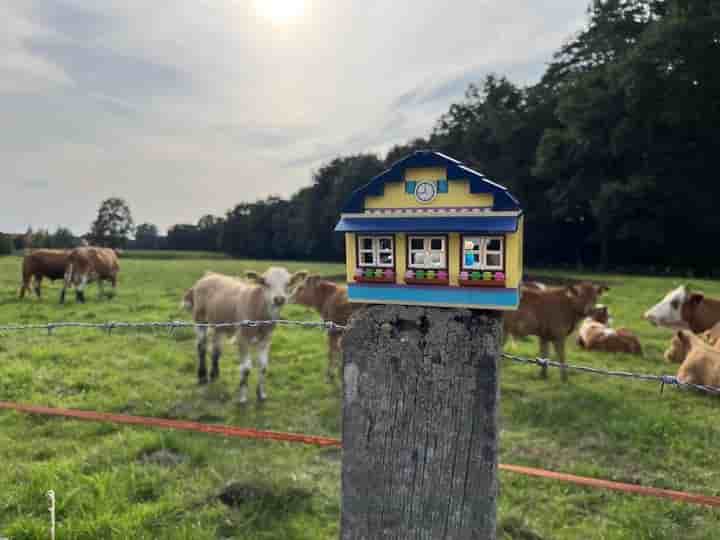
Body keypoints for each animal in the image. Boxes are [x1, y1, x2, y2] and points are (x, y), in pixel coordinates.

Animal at [183, 268, 306, 402]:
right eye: (265, 283)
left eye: (288, 283)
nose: (279, 299)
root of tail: (209, 275)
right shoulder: (242, 338)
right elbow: (246, 368)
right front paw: (242, 397)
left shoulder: (266, 339)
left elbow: (263, 366)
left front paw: (261, 394)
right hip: (200, 318)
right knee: (201, 347)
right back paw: (202, 376)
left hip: (218, 323)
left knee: (216, 349)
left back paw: (214, 374)